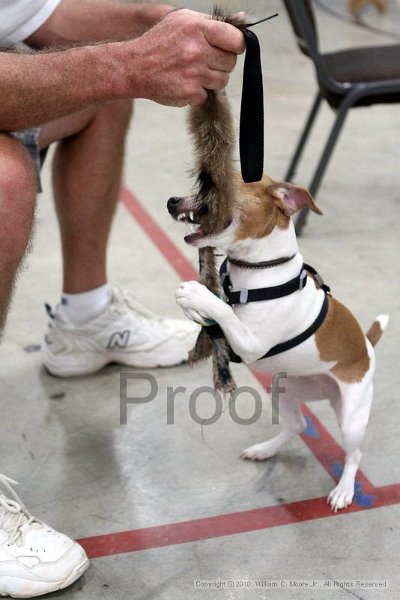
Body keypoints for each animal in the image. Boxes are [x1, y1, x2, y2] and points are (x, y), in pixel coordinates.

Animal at [167, 175, 390, 510]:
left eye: (218, 186)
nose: (172, 201)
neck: (258, 270)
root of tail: (366, 345)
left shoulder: (250, 344)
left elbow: (224, 312)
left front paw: (196, 295)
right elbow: (218, 312)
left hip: (352, 419)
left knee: (354, 454)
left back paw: (344, 490)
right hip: (282, 390)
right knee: (297, 425)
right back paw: (265, 449)